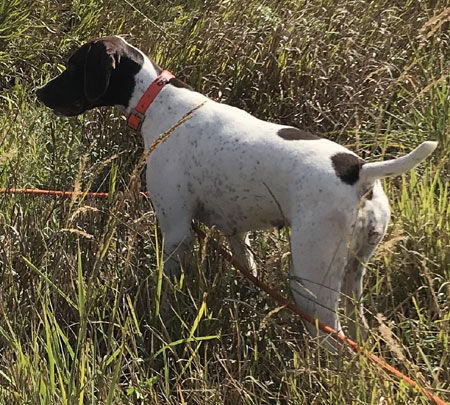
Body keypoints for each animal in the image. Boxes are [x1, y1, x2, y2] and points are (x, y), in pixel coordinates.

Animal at [37, 36, 438, 342]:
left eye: (74, 66)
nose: (39, 92)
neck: (159, 103)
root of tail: (361, 173)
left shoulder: (176, 231)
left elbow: (167, 291)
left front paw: (160, 321)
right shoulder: (236, 234)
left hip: (312, 279)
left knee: (334, 340)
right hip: (354, 276)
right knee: (358, 333)